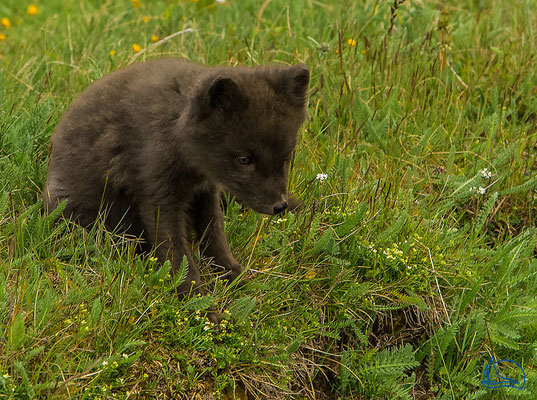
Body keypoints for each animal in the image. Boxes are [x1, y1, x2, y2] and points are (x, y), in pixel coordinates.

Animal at [43, 57, 308, 294]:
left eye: (286, 157)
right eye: (244, 159)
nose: (280, 206)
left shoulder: (205, 190)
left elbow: (216, 240)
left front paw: (236, 278)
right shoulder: (159, 198)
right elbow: (179, 258)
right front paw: (198, 304)